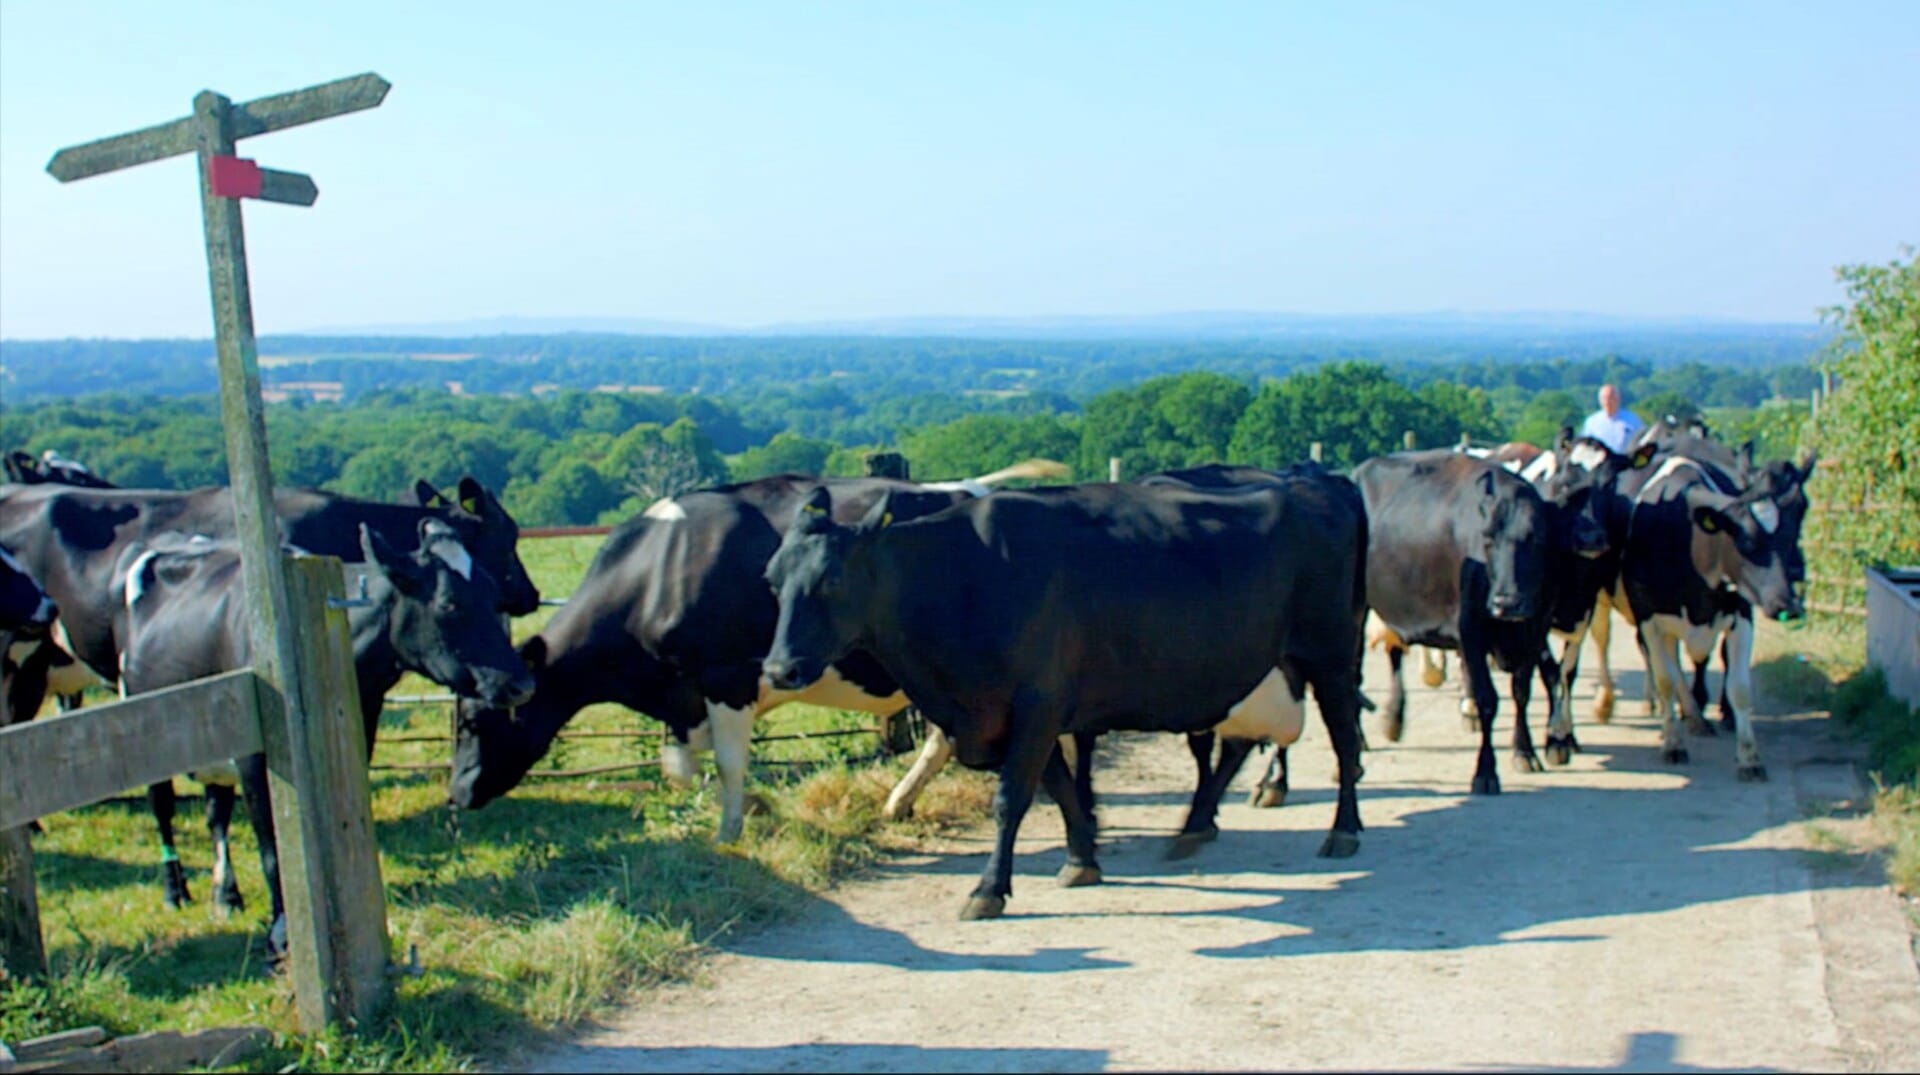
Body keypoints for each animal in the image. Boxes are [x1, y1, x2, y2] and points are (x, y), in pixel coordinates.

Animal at [114, 521, 535, 957]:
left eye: (492, 594)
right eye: (449, 604)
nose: (522, 684)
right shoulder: (255, 761)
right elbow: (272, 849)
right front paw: (281, 931)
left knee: (216, 813)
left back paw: (226, 895)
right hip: (142, 727)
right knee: (163, 810)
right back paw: (175, 891)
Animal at [447, 462, 1071, 843]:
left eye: (476, 720)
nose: (455, 797)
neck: (661, 569)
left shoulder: (727, 677)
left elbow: (726, 762)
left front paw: (729, 831)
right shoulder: (682, 692)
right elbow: (677, 768)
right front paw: (752, 807)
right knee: (948, 735)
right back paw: (898, 803)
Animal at [761, 480, 1368, 920]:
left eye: (831, 580)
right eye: (771, 580)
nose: (778, 668)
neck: (961, 580)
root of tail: (1315, 483)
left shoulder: (1036, 703)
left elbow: (1012, 799)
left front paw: (989, 889)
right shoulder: (1018, 715)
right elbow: (1059, 787)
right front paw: (1082, 859)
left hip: (1332, 654)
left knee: (1343, 739)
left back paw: (1342, 830)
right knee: (1244, 745)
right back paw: (1194, 829)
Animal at [1357, 450, 1590, 794]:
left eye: (1536, 539)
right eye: (1488, 540)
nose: (1505, 602)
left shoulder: (1535, 629)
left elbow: (1522, 691)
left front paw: (1525, 751)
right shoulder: (1470, 630)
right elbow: (1486, 699)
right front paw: (1486, 771)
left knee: (1394, 653)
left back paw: (1393, 720)